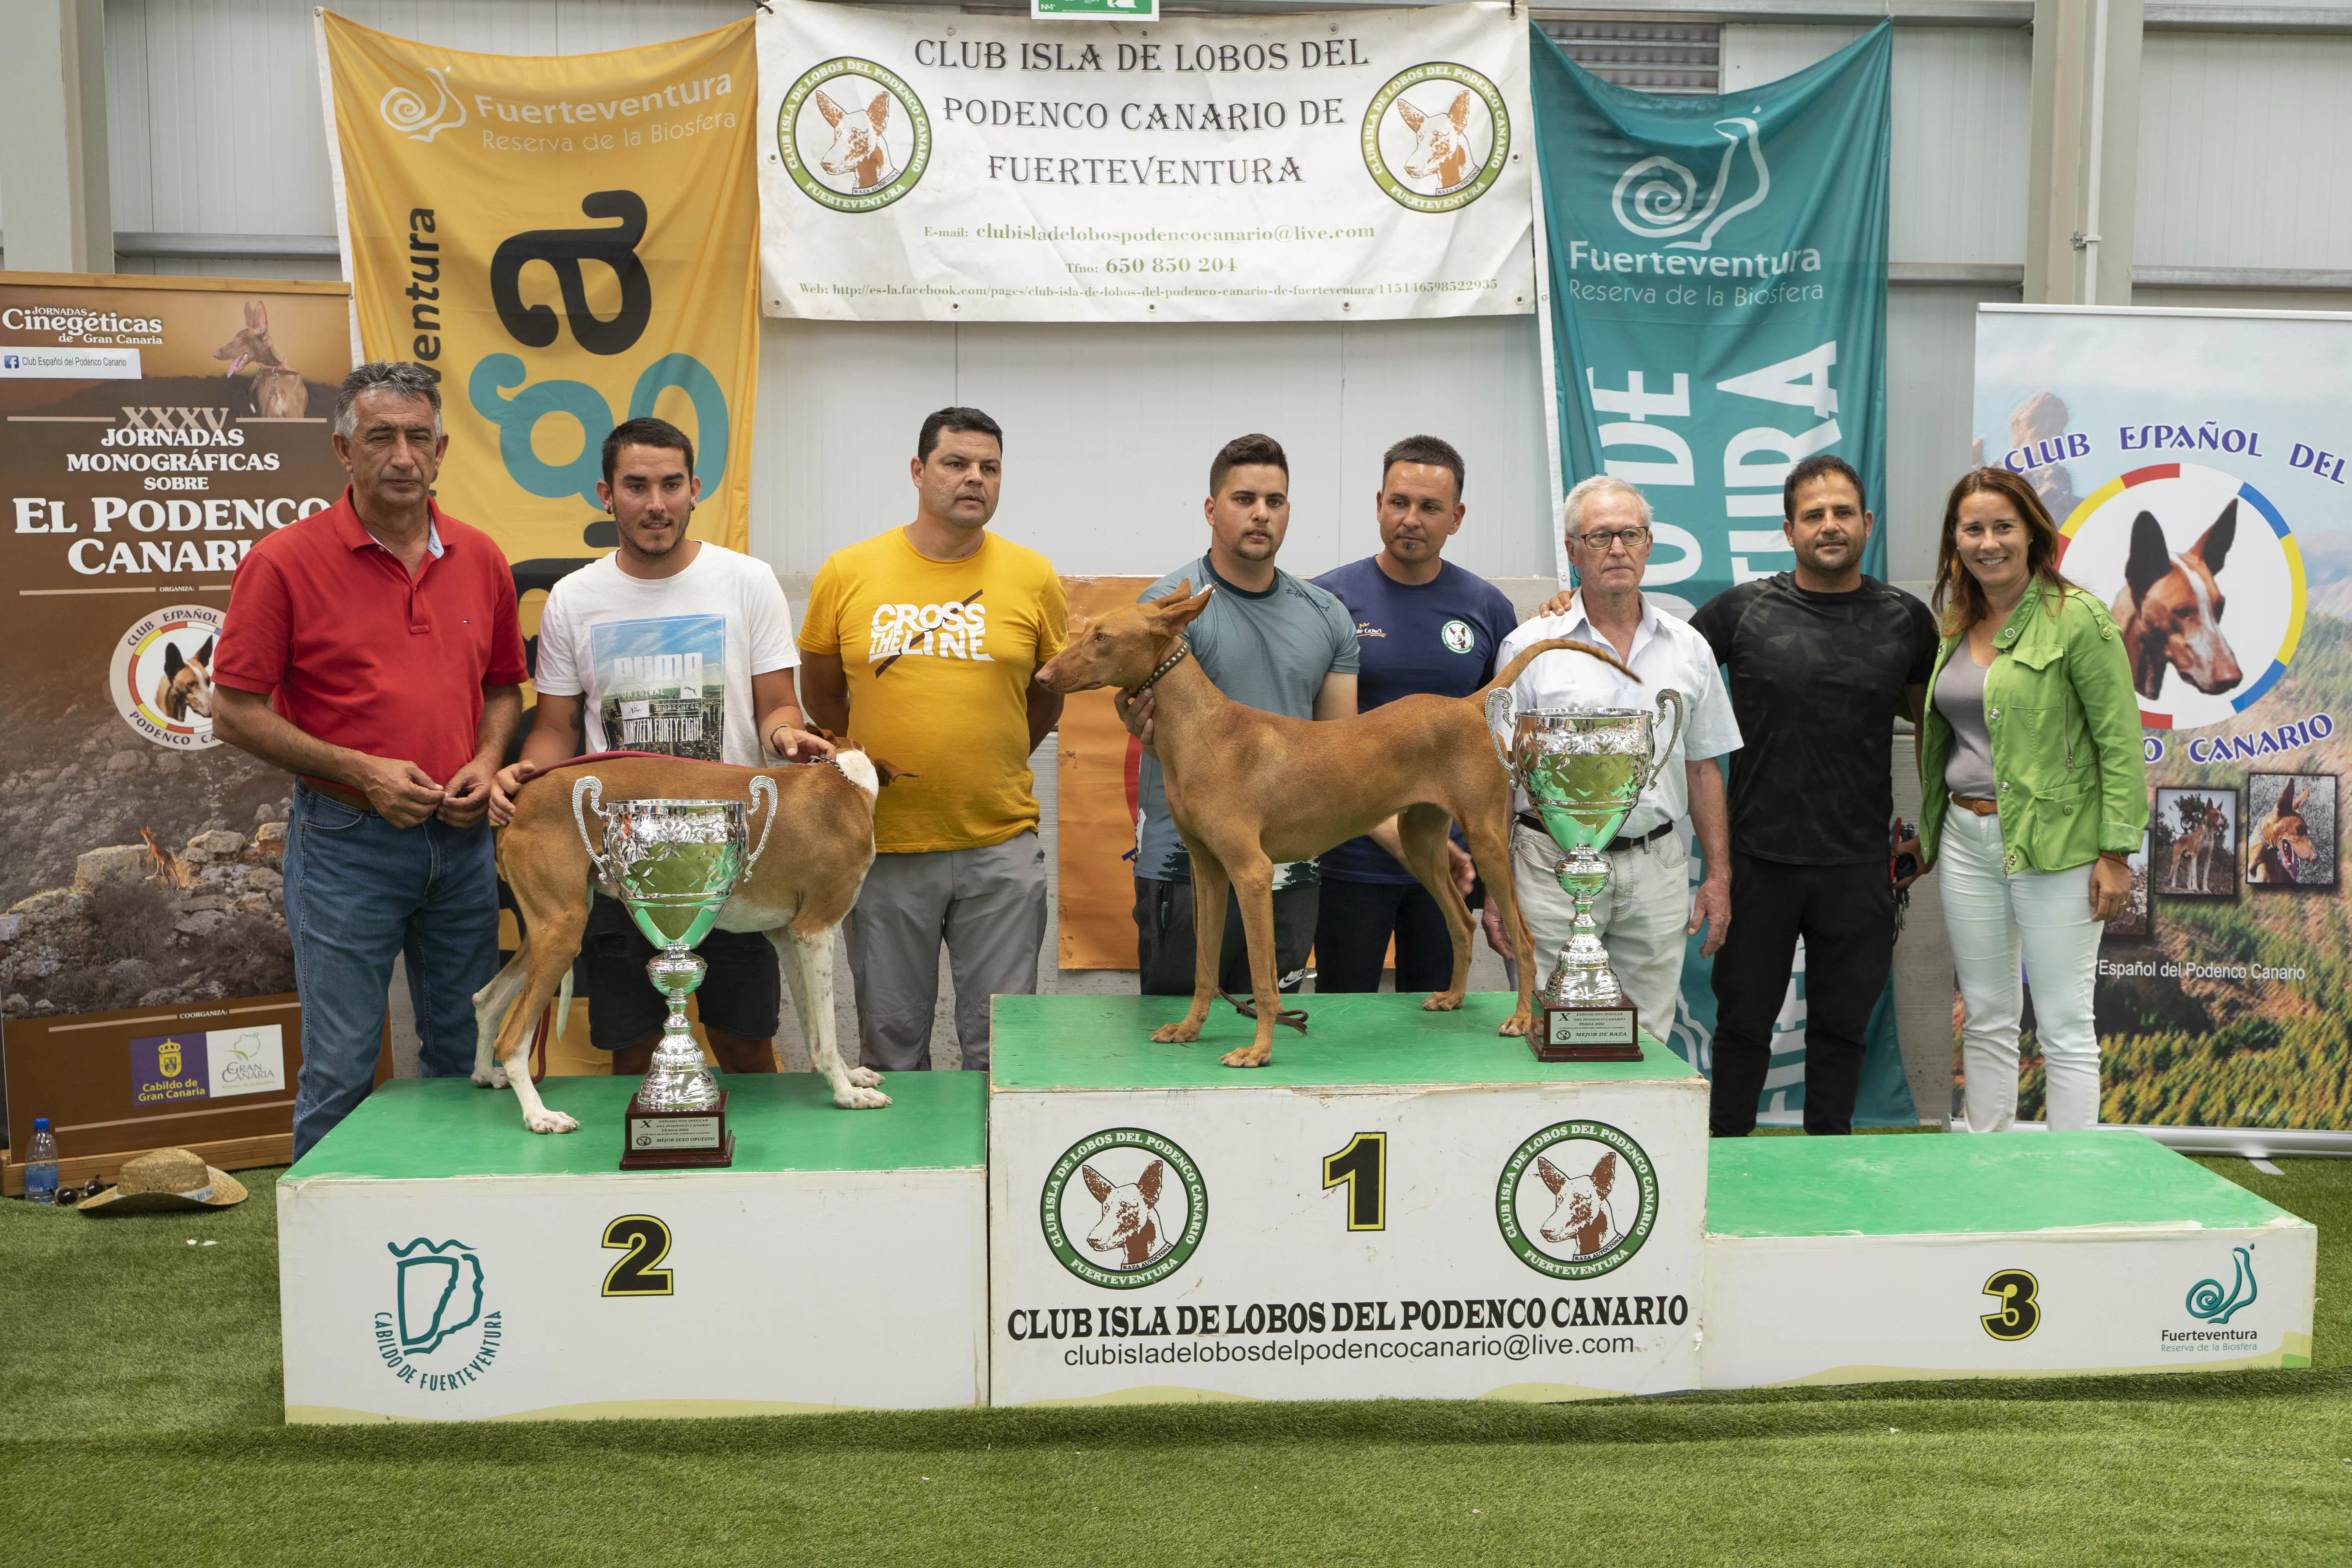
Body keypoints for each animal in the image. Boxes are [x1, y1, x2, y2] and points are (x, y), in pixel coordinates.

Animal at [468, 752, 889, 1133]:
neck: (849, 786)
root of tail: (521, 799)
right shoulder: (817, 930)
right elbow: (828, 1034)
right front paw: (846, 1093)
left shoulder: (788, 936)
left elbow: (814, 1029)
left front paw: (850, 1077)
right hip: (561, 930)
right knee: (512, 1039)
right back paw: (538, 1115)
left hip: (550, 927)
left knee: (486, 999)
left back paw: (485, 1075)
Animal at [1040, 583, 1628, 1072]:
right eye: (1087, 631)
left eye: (1102, 637)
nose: (1042, 678)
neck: (1202, 730)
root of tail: (1469, 703)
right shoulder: (1208, 872)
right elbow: (1205, 967)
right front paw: (1189, 1029)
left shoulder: (1251, 873)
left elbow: (1262, 979)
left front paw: (1258, 1050)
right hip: (1420, 843)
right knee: (1462, 922)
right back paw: (1454, 997)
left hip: (1484, 840)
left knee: (1524, 939)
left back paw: (1524, 1018)